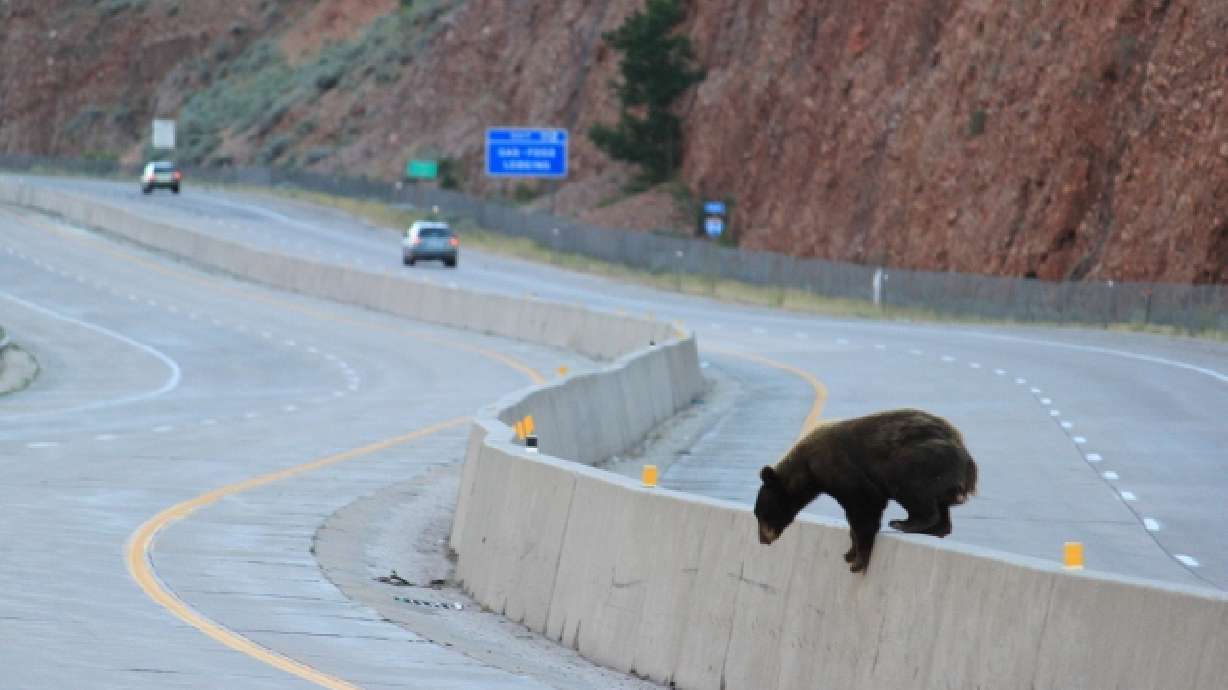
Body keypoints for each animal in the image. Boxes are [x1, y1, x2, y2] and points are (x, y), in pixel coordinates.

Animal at [753, 408, 978, 573]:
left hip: (922, 458)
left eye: (761, 513)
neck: (808, 470)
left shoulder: (840, 467)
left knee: (910, 485)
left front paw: (859, 559)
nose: (763, 540)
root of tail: (968, 462)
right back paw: (934, 528)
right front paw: (849, 552)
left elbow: (865, 503)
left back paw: (904, 523)